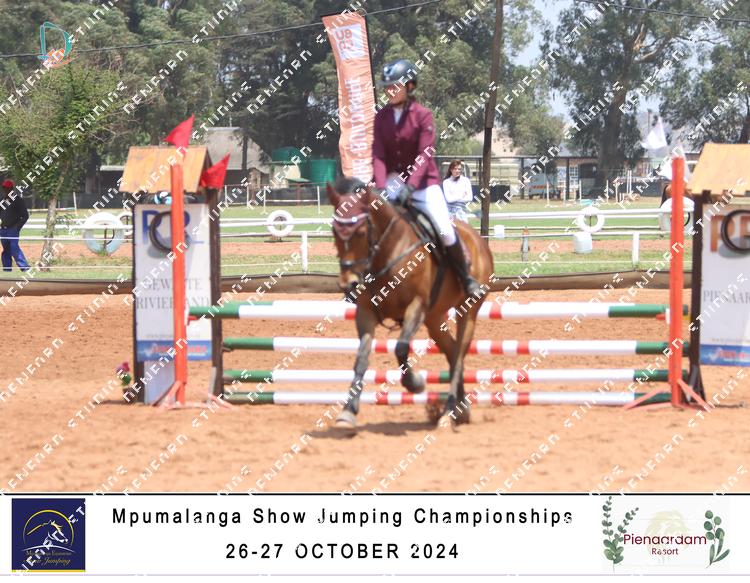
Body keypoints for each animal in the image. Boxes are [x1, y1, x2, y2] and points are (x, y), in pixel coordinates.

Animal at [327, 177, 494, 430]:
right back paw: (460, 410)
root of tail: (478, 240)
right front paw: (348, 411)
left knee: (459, 354)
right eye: (334, 231)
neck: (388, 252)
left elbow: (401, 347)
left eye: (361, 232)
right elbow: (361, 358)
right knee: (452, 352)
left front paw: (415, 383)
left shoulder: (416, 307)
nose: (349, 284)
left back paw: (448, 412)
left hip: (468, 311)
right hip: (434, 318)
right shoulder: (365, 313)